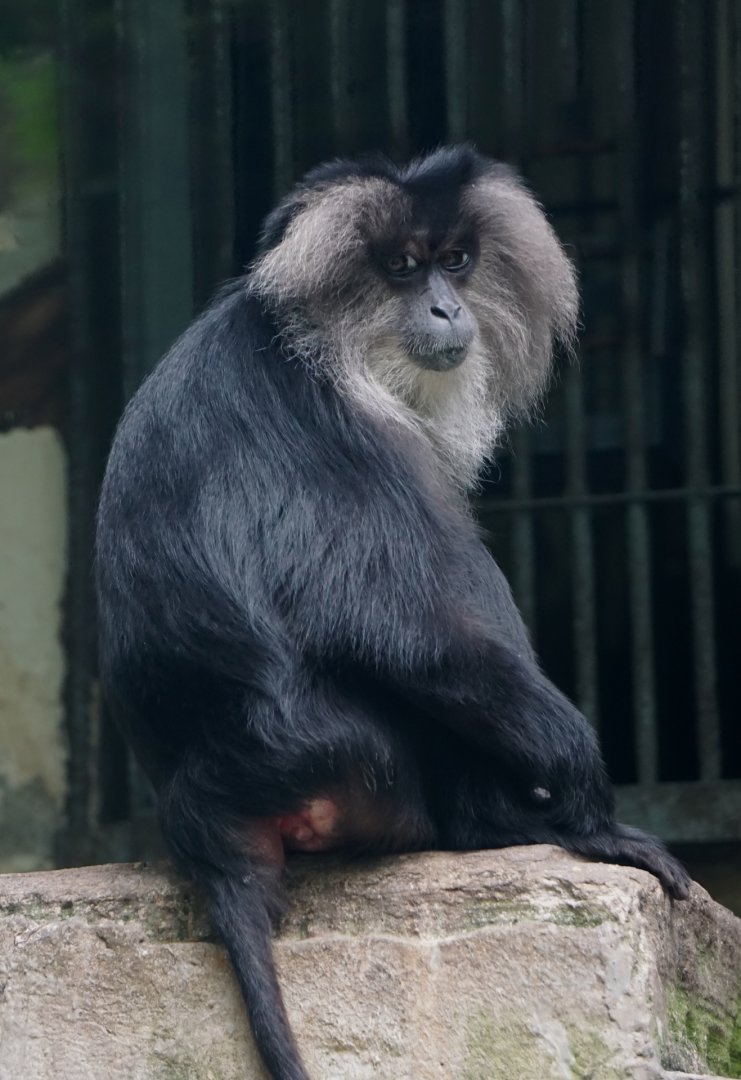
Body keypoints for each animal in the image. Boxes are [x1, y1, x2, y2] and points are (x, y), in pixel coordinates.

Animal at [95, 145, 690, 1080]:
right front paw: (590, 811)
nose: (445, 306)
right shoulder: (340, 426)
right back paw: (510, 822)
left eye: (455, 261)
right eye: (402, 267)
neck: (315, 340)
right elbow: (401, 634)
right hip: (367, 765)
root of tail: (207, 811)